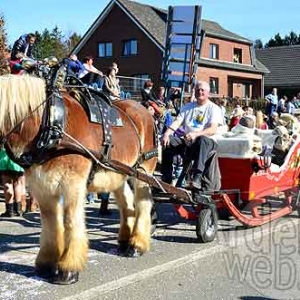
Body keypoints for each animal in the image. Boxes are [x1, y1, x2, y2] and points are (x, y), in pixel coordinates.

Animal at [0, 74, 158, 284]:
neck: (50, 124)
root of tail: (144, 111)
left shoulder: (73, 184)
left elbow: (70, 221)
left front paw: (68, 268)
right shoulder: (42, 187)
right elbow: (50, 223)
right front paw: (46, 263)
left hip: (144, 171)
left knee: (142, 204)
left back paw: (137, 244)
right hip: (118, 173)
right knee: (126, 203)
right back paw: (125, 241)